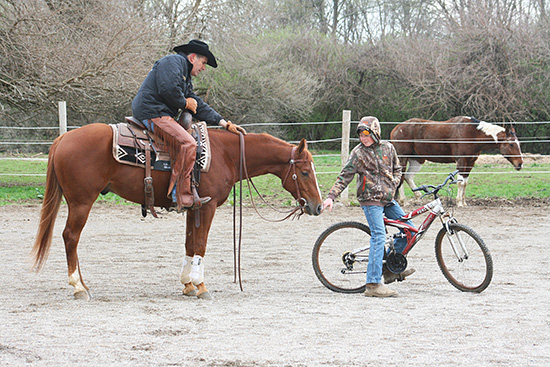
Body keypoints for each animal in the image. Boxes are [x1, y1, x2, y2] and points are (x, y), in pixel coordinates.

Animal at [32, 123, 326, 300]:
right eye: (304, 171)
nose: (318, 206)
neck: (226, 154)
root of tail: (63, 138)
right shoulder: (207, 206)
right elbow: (201, 244)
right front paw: (201, 286)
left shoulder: (192, 208)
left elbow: (189, 243)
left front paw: (187, 284)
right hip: (81, 201)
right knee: (70, 237)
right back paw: (78, 287)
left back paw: (84, 284)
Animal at [390, 115, 524, 207]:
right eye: (511, 144)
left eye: (518, 143)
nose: (520, 164)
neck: (472, 133)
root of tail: (396, 128)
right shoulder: (461, 161)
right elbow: (460, 183)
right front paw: (459, 202)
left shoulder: (470, 163)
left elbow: (465, 183)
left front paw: (463, 202)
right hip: (402, 158)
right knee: (401, 177)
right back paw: (404, 201)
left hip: (417, 160)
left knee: (408, 177)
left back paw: (417, 196)